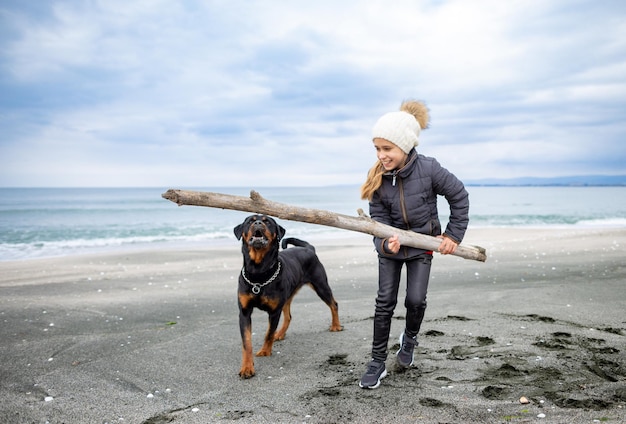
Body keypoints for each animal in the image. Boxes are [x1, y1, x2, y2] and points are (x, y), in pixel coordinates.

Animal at [233, 215, 342, 378]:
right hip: (288, 296)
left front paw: (265, 351)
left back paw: (336, 325)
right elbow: (247, 342)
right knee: (289, 316)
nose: (258, 223)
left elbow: (268, 333)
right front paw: (247, 367)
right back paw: (280, 334)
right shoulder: (245, 312)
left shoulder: (274, 311)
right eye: (249, 221)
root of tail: (309, 248)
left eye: (267, 221)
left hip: (320, 284)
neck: (259, 273)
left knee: (333, 304)